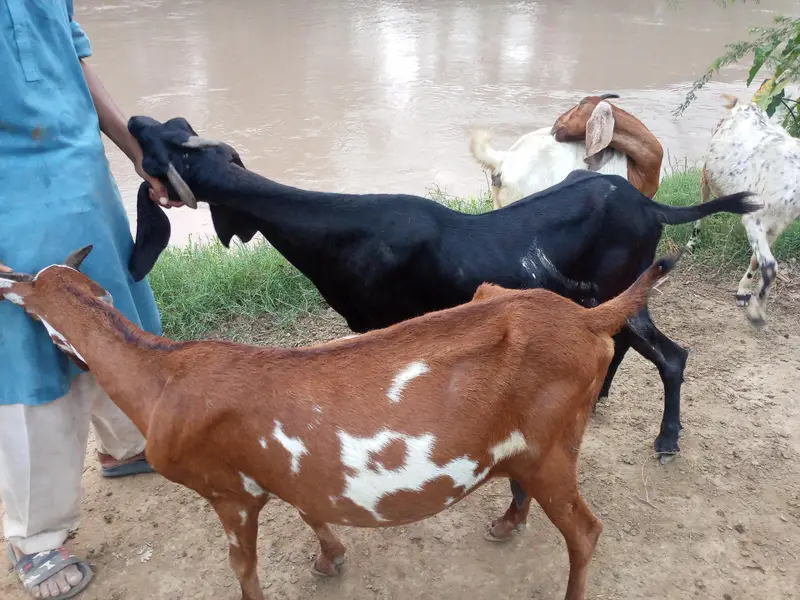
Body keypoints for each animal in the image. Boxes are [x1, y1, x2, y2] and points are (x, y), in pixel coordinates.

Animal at [0, 245, 677, 600]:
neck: (163, 375)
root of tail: (589, 318)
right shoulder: (290, 473)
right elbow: (310, 507)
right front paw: (331, 559)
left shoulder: (226, 492)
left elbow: (242, 565)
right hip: (537, 433)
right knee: (524, 484)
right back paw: (507, 523)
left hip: (552, 445)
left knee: (585, 531)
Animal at [126, 116, 759, 475]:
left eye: (170, 150)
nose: (133, 119)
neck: (340, 230)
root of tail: (651, 205)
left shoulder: (381, 324)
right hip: (614, 296)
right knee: (627, 343)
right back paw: (600, 397)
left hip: (621, 287)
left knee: (672, 356)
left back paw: (668, 440)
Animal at [685, 95, 799, 326]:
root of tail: (742, 103)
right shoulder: (755, 220)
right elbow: (770, 266)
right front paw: (756, 313)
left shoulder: (777, 226)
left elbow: (758, 260)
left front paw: (744, 292)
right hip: (707, 173)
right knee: (703, 199)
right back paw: (693, 242)